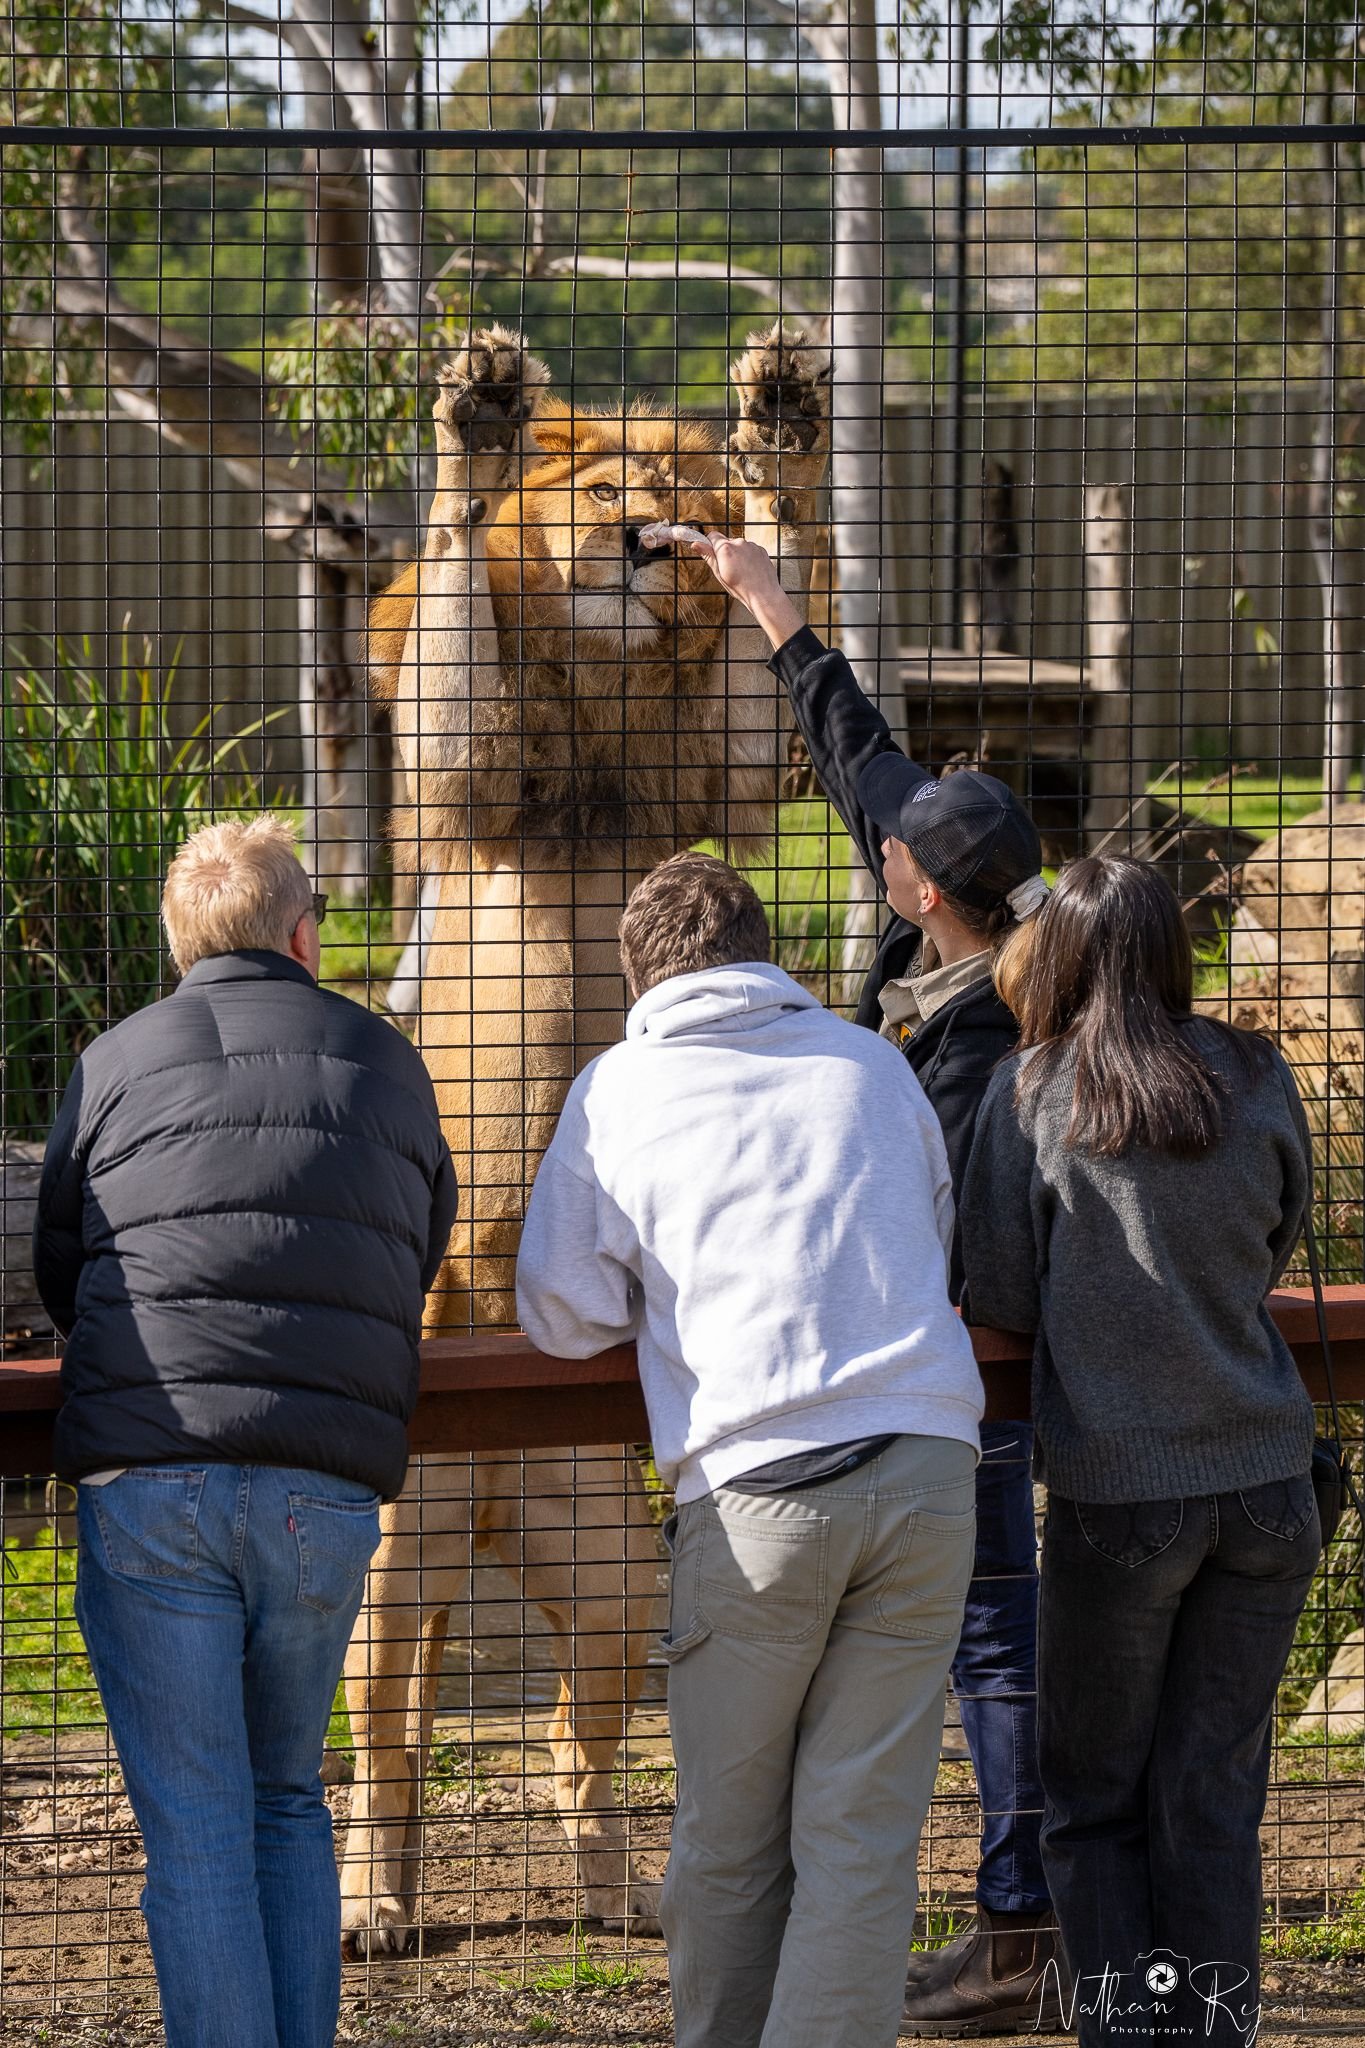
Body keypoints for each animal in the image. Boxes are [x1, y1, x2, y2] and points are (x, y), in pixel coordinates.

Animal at [340, 323, 833, 1955]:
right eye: (607, 491)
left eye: (672, 503)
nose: (635, 545)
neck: (610, 706)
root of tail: (492, 1493)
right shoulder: (467, 768)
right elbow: (455, 613)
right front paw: (479, 420)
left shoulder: (733, 770)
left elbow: (771, 653)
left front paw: (782, 418)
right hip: (387, 1568)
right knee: (387, 1751)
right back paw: (376, 1904)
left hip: (618, 1566)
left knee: (578, 1748)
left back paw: (627, 1889)